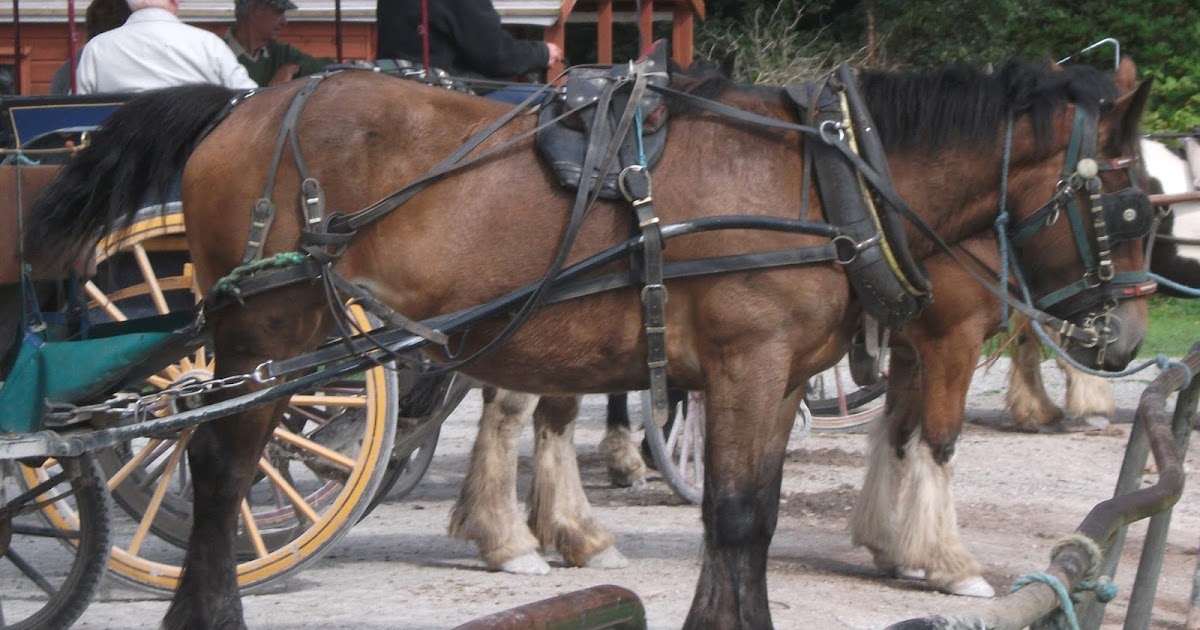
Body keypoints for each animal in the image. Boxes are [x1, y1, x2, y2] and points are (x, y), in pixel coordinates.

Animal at [28, 55, 1153, 628]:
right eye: (1138, 203)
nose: (1123, 339)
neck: (829, 175)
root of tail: (246, 102)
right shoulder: (751, 367)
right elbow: (742, 519)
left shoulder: (781, 380)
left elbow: (744, 516)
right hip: (266, 333)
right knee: (220, 471)